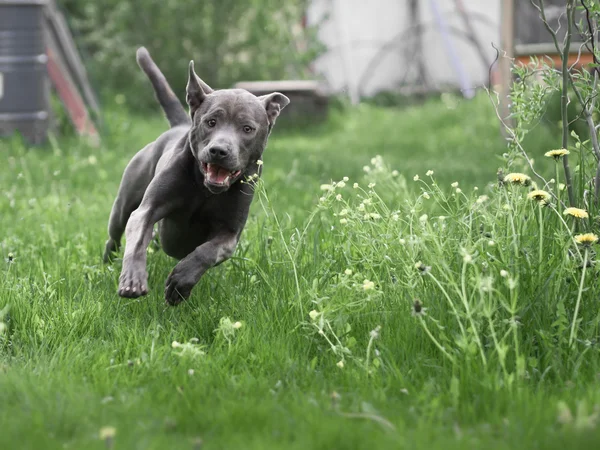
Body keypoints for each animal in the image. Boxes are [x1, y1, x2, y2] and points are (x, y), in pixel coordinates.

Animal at [105, 47, 290, 304]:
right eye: (211, 122)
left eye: (247, 128)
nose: (219, 151)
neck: (205, 191)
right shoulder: (147, 209)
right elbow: (138, 237)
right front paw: (133, 279)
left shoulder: (229, 233)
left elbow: (207, 251)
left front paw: (180, 282)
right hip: (124, 203)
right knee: (115, 233)